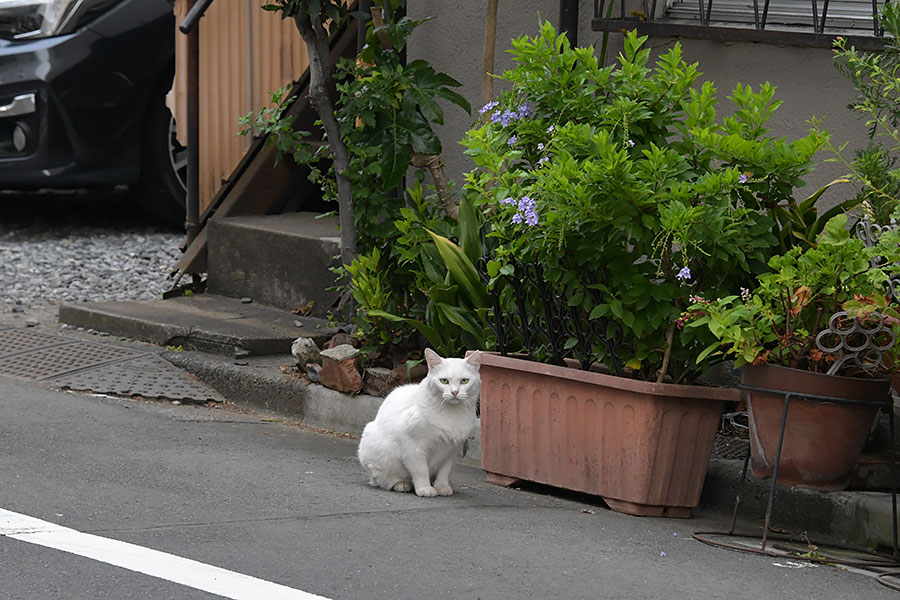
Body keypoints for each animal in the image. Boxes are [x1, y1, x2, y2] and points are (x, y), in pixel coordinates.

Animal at [358, 346, 486, 496]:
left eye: (464, 381)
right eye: (444, 381)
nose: (454, 392)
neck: (451, 414)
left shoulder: (451, 452)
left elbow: (444, 471)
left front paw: (442, 486)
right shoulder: (414, 448)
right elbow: (421, 471)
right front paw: (425, 488)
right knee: (384, 480)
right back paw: (402, 484)